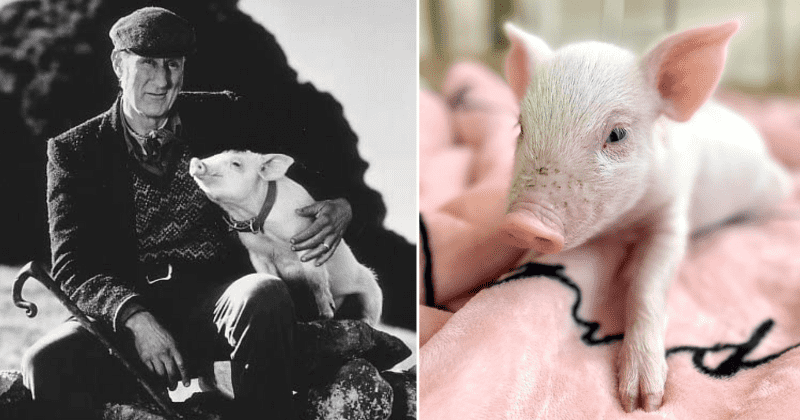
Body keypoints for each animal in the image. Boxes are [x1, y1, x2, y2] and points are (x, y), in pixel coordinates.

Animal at [189, 150, 383, 325]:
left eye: (236, 163)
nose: (196, 161)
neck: (265, 229)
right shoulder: (257, 254)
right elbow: (271, 277)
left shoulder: (307, 241)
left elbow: (316, 279)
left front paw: (327, 314)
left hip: (373, 292)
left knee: (370, 312)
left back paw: (357, 320)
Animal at [501, 21, 793, 412]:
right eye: (520, 126)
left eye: (617, 133)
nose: (523, 222)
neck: (623, 225)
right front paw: (510, 270)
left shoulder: (673, 216)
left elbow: (647, 285)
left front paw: (642, 401)